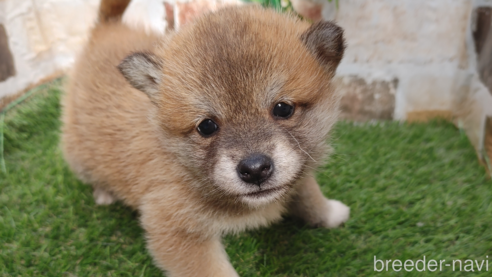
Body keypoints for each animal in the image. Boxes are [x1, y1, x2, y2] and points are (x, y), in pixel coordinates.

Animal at [61, 0, 350, 274]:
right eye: (207, 126)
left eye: (283, 109)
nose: (255, 169)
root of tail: (104, 29)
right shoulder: (177, 230)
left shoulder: (300, 166)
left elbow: (309, 192)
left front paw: (329, 213)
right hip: (78, 153)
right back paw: (104, 192)